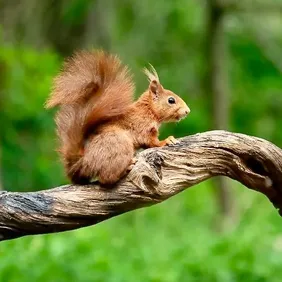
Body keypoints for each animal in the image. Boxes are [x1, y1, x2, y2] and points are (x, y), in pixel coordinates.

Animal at [45, 49, 191, 185]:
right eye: (171, 100)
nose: (187, 111)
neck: (148, 110)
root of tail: (84, 162)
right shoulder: (143, 127)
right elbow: (152, 142)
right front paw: (167, 140)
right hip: (119, 144)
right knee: (106, 178)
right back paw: (126, 168)